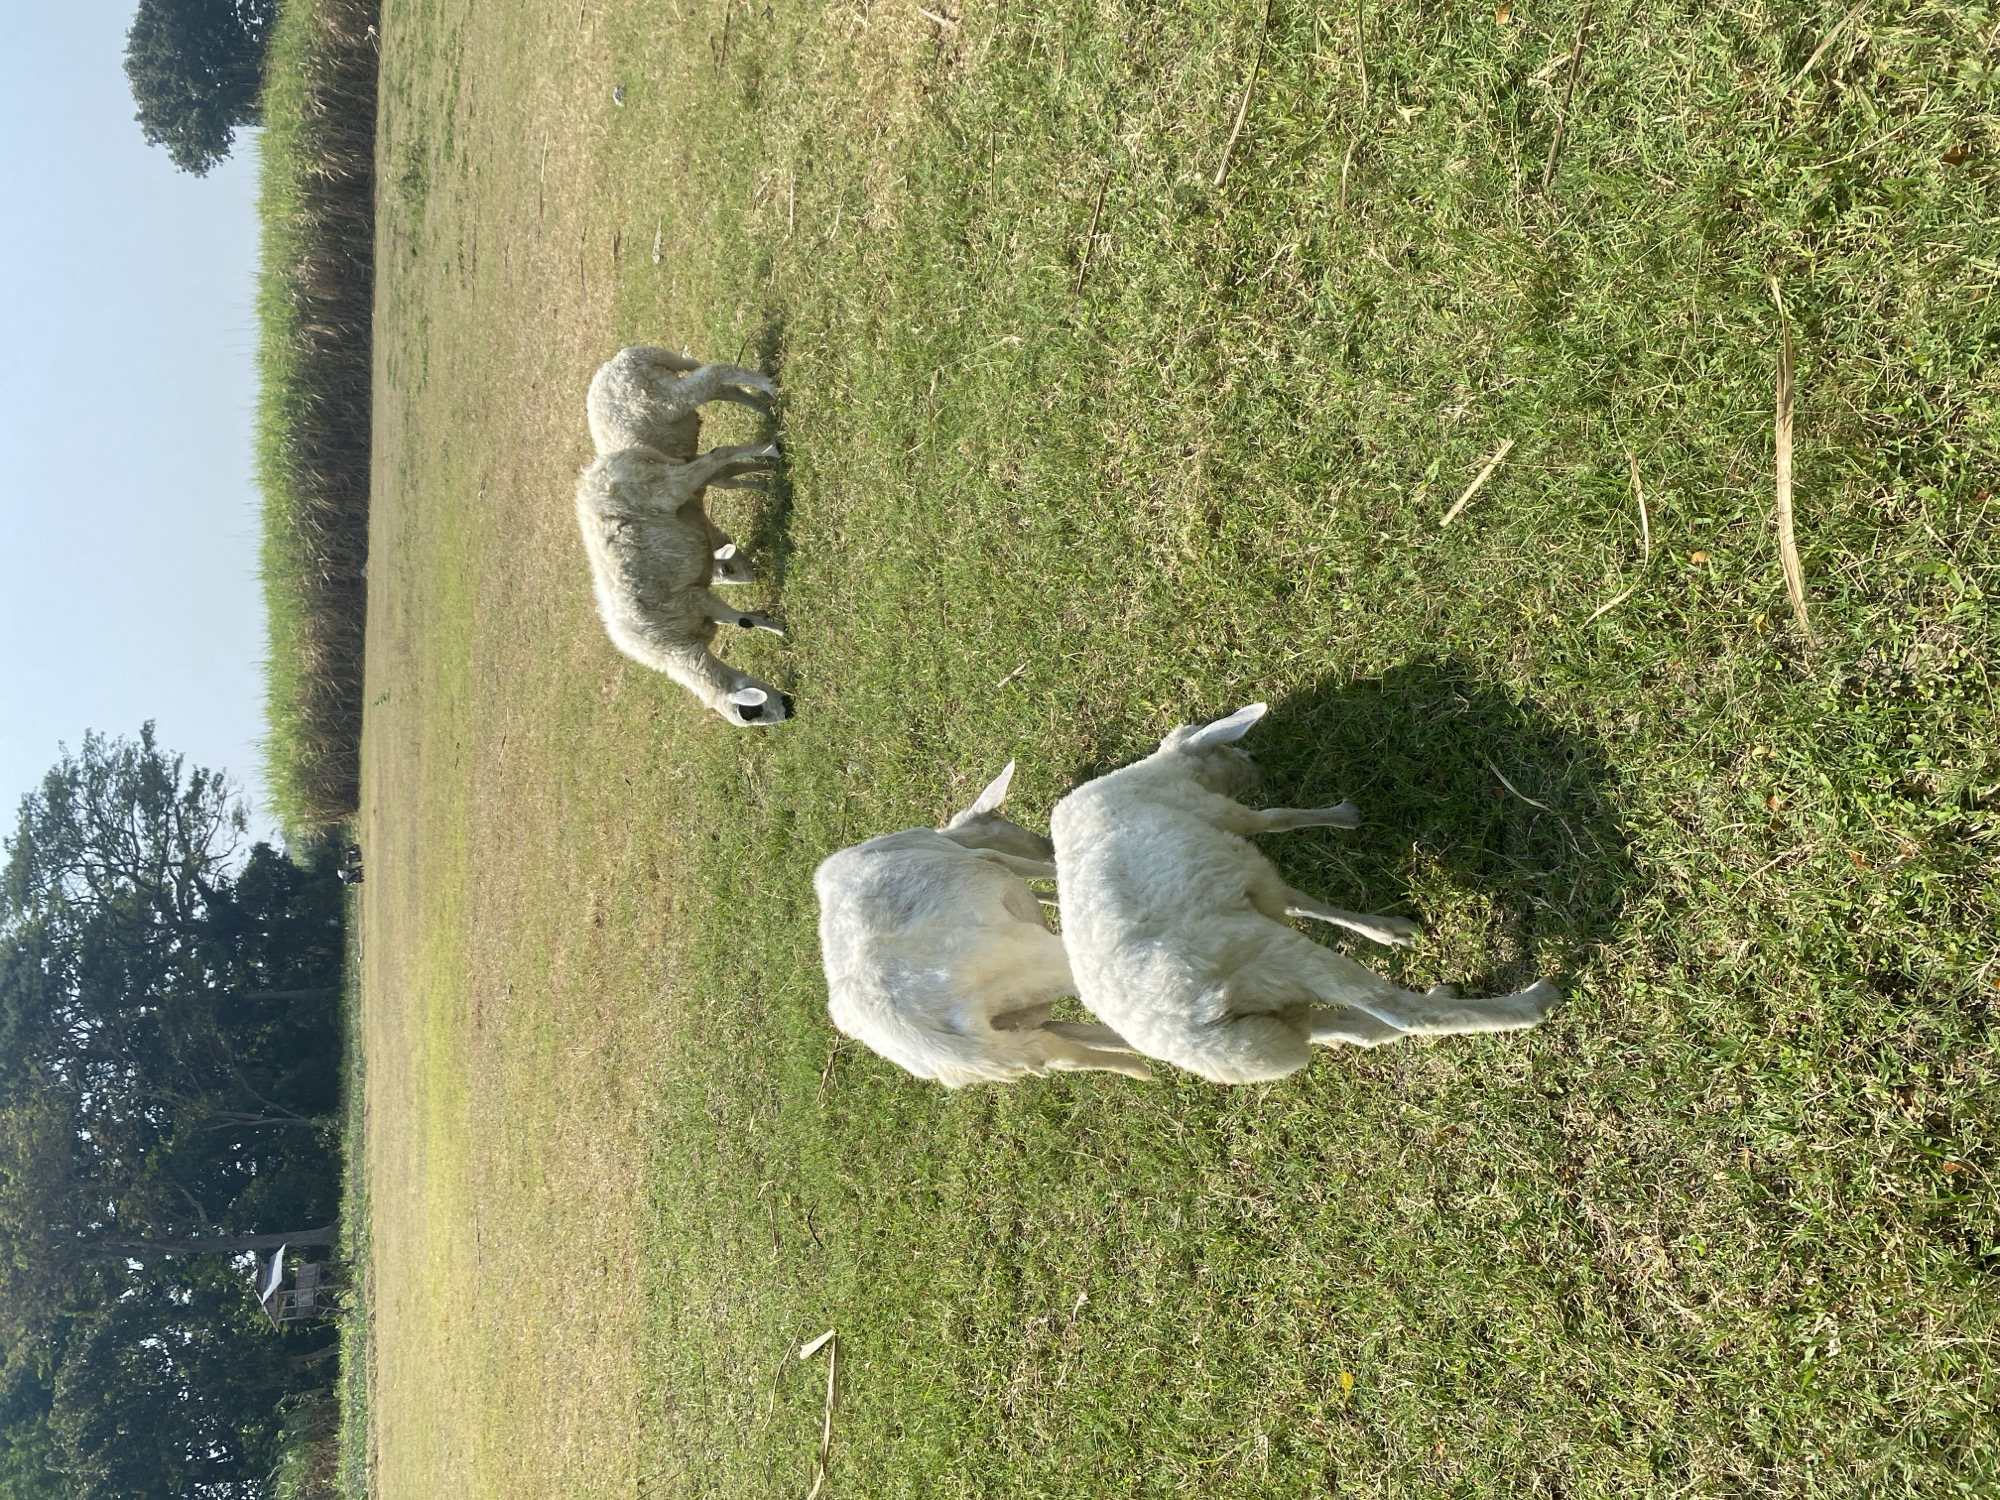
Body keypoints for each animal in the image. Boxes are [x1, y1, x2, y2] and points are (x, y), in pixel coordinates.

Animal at [574, 444, 792, 725]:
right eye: (753, 712)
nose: (790, 709)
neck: (676, 651)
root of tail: (600, 468)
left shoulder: (694, 599)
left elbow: (744, 623)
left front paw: (779, 628)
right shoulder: (698, 607)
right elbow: (740, 620)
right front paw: (766, 617)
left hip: (668, 488)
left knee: (715, 457)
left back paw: (771, 451)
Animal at [585, 345, 778, 583]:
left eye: (725, 569)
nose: (754, 576)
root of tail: (623, 359)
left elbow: (724, 472)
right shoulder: (694, 467)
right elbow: (725, 476)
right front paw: (765, 478)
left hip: (662, 397)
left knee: (715, 373)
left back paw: (769, 387)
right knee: (721, 390)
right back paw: (765, 408)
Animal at [815, 761, 1153, 1087]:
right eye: (1000, 819)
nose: (1047, 844)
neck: (948, 838)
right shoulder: (985, 855)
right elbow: (1027, 867)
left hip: (1013, 1036)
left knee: (1067, 1048)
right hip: (1025, 963)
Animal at [1049, 703, 1562, 1085]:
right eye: (1226, 747)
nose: (1256, 767)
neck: (1163, 770)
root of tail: (1189, 1036)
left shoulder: (1236, 859)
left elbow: (1296, 898)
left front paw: (1384, 929)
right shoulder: (1227, 817)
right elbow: (1278, 819)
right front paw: (1344, 816)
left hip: (1270, 1025)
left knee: (1353, 1030)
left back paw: (1438, 994)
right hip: (1270, 958)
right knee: (1401, 1013)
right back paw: (1530, 1002)